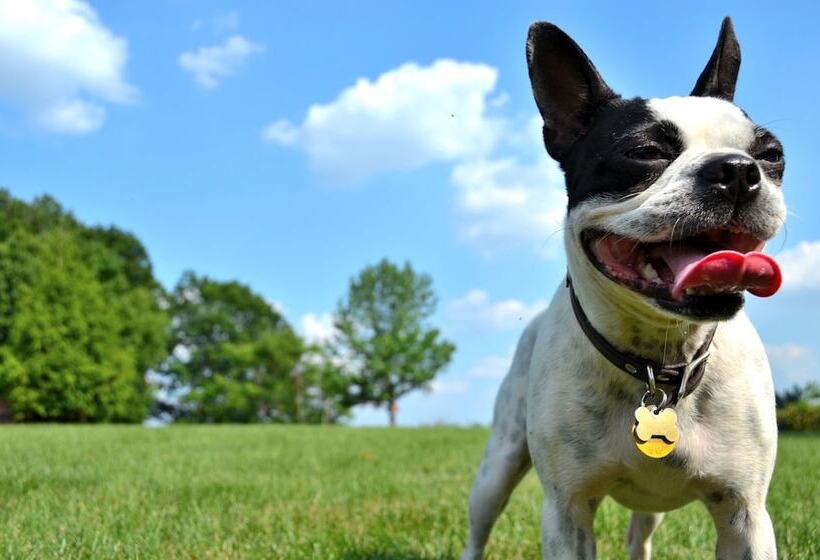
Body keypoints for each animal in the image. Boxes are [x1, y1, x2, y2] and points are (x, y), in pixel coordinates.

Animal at [462, 18, 788, 560]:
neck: (660, 360)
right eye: (644, 153)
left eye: (771, 154)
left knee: (640, 536)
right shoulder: (567, 511)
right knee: (479, 524)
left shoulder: (746, 514)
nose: (739, 170)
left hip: (651, 506)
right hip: (497, 467)